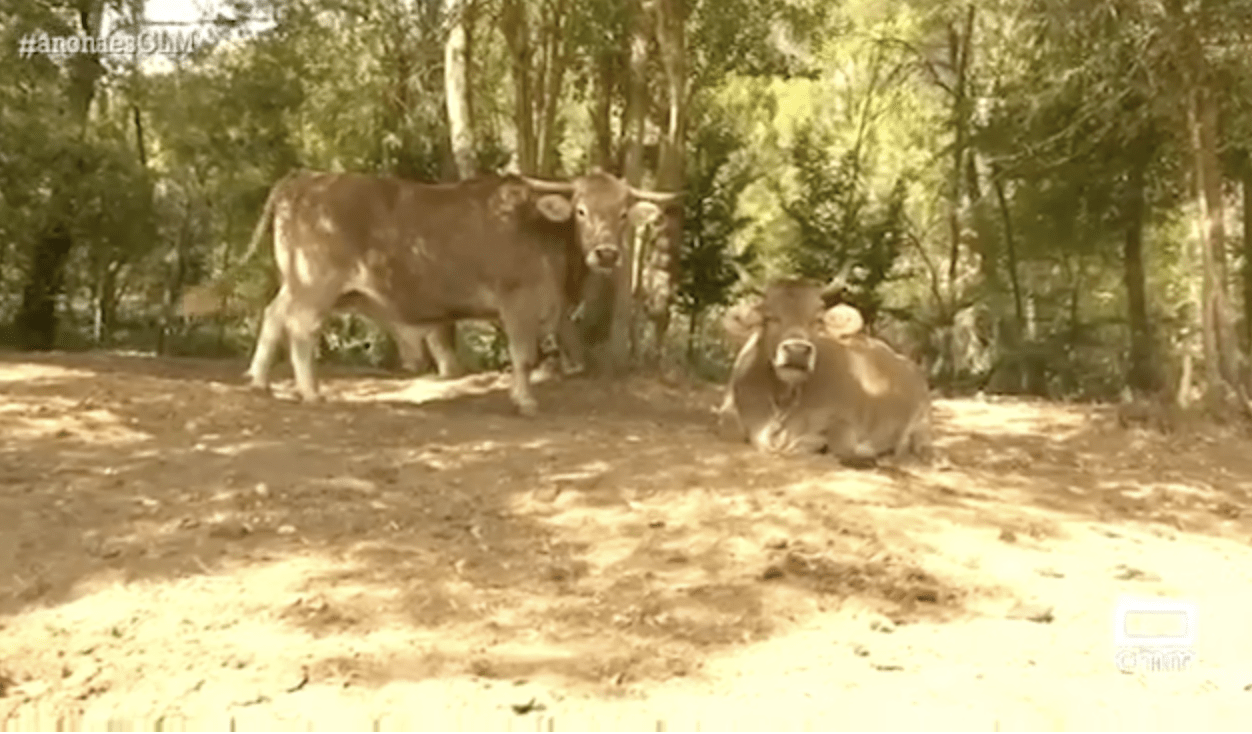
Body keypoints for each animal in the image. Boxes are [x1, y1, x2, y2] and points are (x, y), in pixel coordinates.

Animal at [181, 167, 681, 413]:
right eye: (580, 210)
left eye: (622, 214)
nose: (607, 254)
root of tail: (305, 179)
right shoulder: (517, 303)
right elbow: (523, 356)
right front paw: (524, 401)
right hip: (315, 284)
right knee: (302, 329)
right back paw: (311, 393)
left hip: (296, 282)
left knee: (272, 316)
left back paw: (260, 381)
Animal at [721, 276, 936, 460]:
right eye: (770, 317)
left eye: (817, 320)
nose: (797, 351)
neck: (784, 397)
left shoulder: (846, 418)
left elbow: (842, 443)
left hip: (923, 415)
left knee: (921, 439)